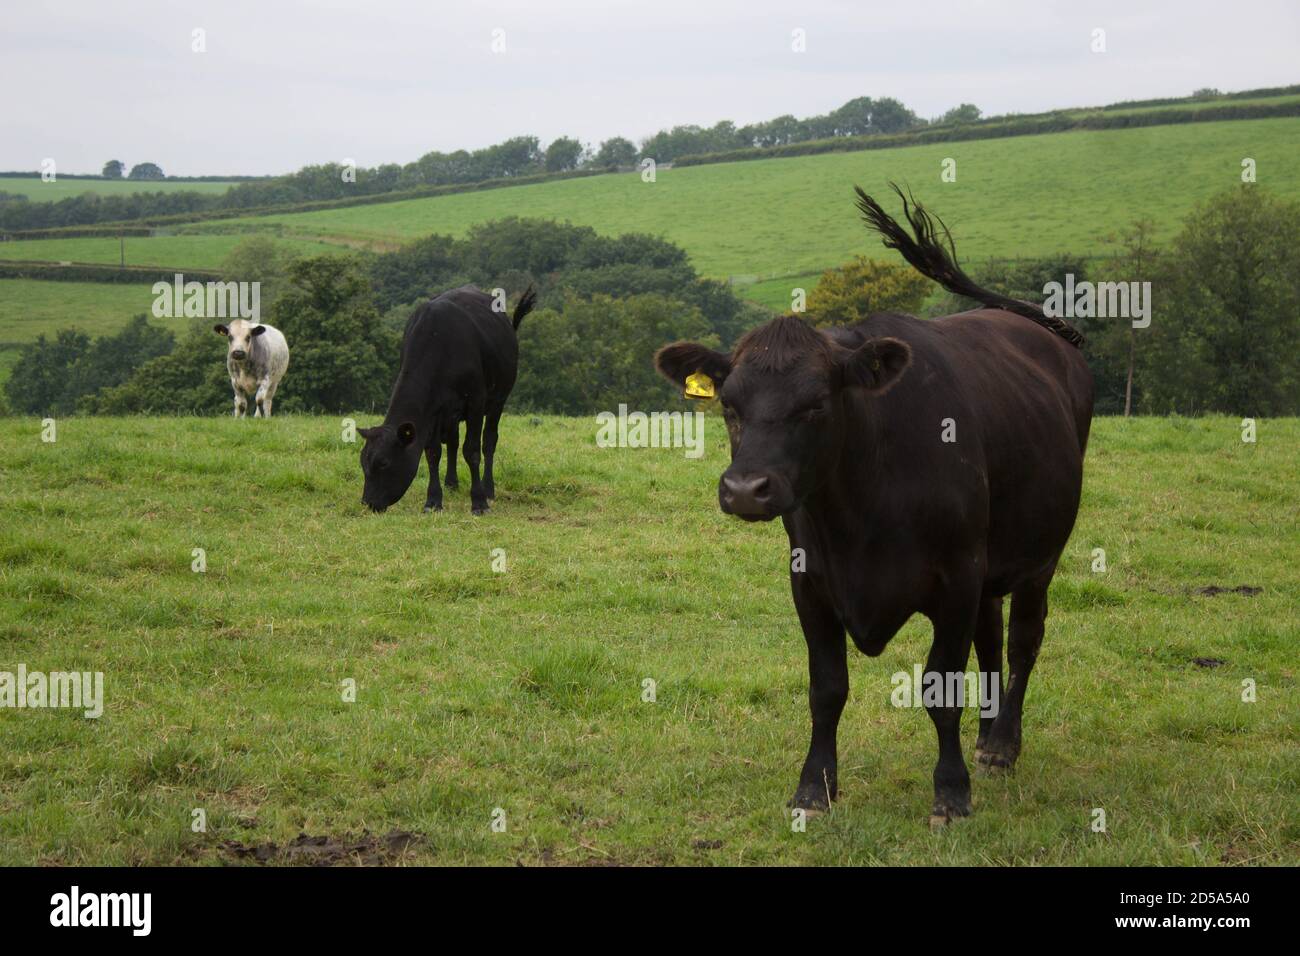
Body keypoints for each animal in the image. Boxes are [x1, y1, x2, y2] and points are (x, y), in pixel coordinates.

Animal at [359, 285, 536, 515]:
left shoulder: (475, 402)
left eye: (383, 463)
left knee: (489, 441)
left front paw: (479, 501)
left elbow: (472, 450)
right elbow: (433, 453)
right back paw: (451, 483)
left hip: (498, 400)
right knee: (453, 442)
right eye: (363, 463)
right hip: (451, 413)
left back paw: (488, 489)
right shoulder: (433, 410)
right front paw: (433, 500)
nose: (367, 502)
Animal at [654, 185, 1093, 825]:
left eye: (815, 403)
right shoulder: (810, 582)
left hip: (1041, 554)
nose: (744, 489)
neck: (859, 514)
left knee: (1023, 639)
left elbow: (941, 686)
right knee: (990, 639)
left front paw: (950, 792)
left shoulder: (957, 578)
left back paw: (1004, 742)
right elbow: (827, 687)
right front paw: (814, 787)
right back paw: (987, 736)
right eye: (729, 406)